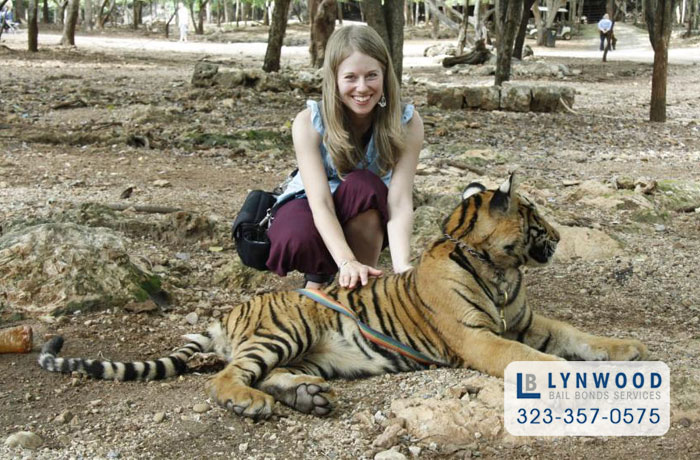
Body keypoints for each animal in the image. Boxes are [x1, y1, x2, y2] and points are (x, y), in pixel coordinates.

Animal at [38, 171, 648, 418]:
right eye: (534, 215)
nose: (562, 237)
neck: (500, 270)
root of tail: (237, 308)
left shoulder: (526, 321)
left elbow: (579, 335)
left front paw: (628, 350)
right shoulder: (481, 338)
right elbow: (529, 357)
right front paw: (564, 375)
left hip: (313, 354)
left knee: (269, 373)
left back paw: (305, 397)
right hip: (286, 328)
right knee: (228, 376)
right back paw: (251, 404)